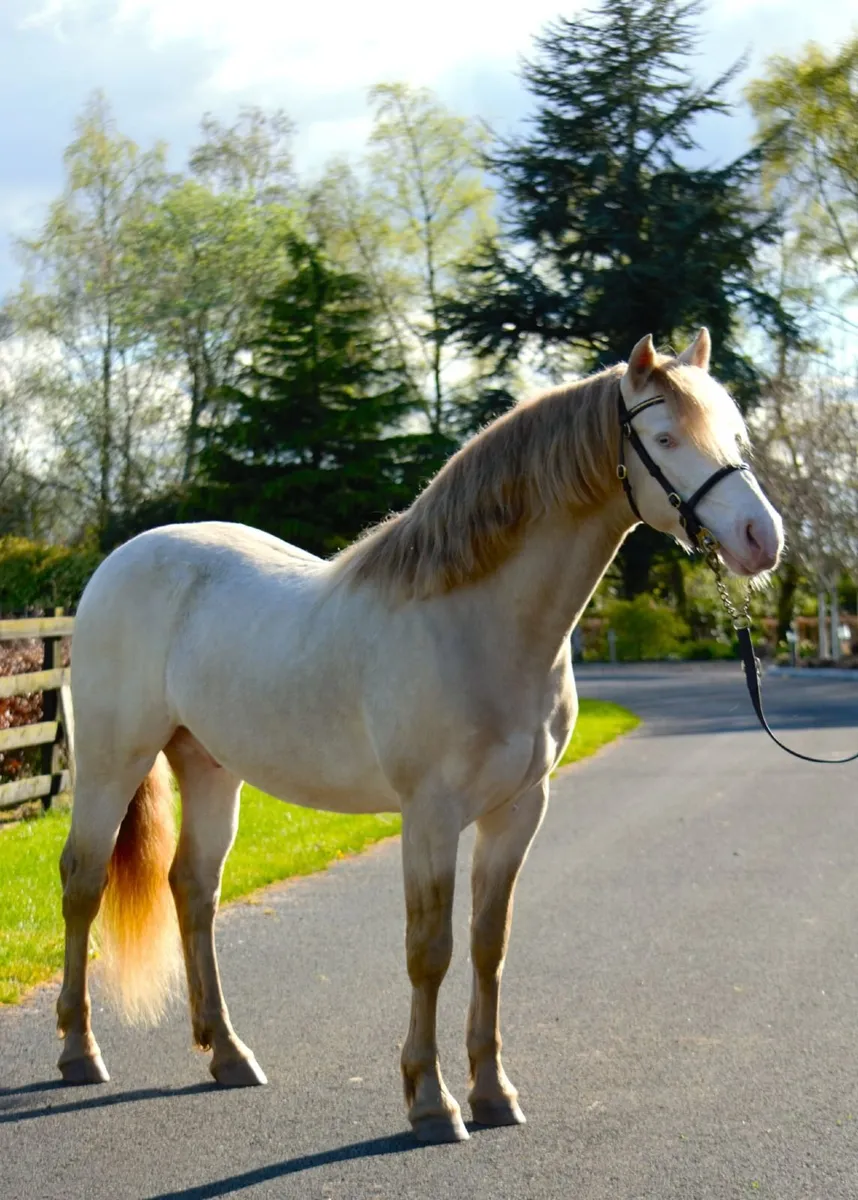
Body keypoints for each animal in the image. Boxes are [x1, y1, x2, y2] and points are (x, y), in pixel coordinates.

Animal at [56, 329, 783, 1144]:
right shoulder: (430, 816)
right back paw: (80, 1051)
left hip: (211, 766)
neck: (475, 621)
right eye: (664, 438)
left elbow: (489, 945)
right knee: (83, 881)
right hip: (113, 762)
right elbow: (429, 950)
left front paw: (493, 1093)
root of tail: (121, 561)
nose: (761, 539)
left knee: (193, 889)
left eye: (734, 434)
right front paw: (431, 1101)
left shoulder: (519, 810)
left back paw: (229, 1053)